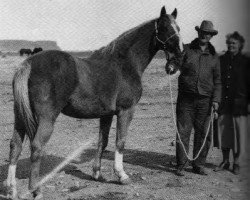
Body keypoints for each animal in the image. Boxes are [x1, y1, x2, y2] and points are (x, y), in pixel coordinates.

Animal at [4, 5, 183, 198]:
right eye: (164, 28)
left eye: (178, 29)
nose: (178, 58)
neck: (124, 64)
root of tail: (28, 63)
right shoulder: (126, 110)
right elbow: (120, 141)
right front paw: (122, 175)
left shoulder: (106, 114)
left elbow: (102, 142)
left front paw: (97, 173)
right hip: (46, 119)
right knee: (36, 147)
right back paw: (36, 190)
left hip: (19, 116)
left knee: (15, 146)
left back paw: (10, 189)